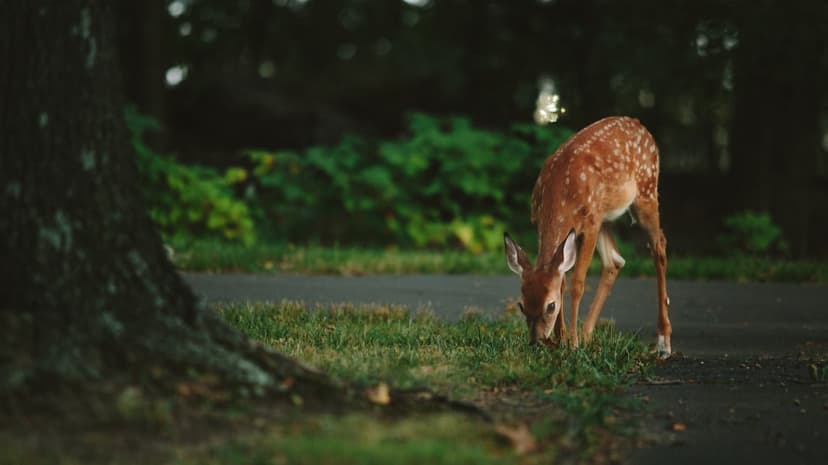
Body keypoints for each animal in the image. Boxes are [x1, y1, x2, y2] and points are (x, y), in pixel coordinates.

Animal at [504, 116, 672, 358]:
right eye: (521, 305)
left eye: (550, 306)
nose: (537, 342)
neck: (560, 195)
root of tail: (640, 125)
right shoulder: (545, 222)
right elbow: (561, 280)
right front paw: (562, 340)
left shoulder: (589, 225)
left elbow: (577, 284)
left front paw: (571, 344)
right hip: (605, 216)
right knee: (615, 261)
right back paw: (586, 335)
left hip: (646, 191)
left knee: (659, 247)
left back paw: (663, 342)